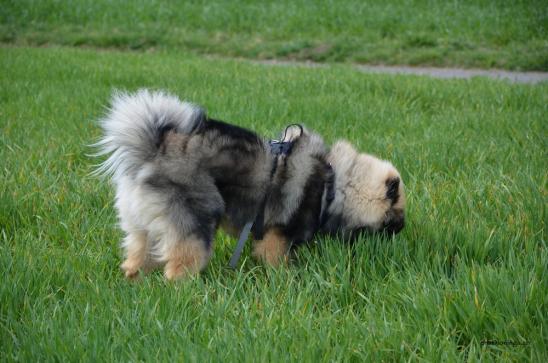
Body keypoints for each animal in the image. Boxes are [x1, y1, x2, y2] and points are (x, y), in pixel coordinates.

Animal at [94, 89, 404, 280]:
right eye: (398, 212)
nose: (403, 228)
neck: (335, 185)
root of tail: (151, 153)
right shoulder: (278, 235)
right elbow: (277, 260)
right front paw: (287, 279)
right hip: (195, 223)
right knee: (180, 265)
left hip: (141, 226)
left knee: (136, 259)